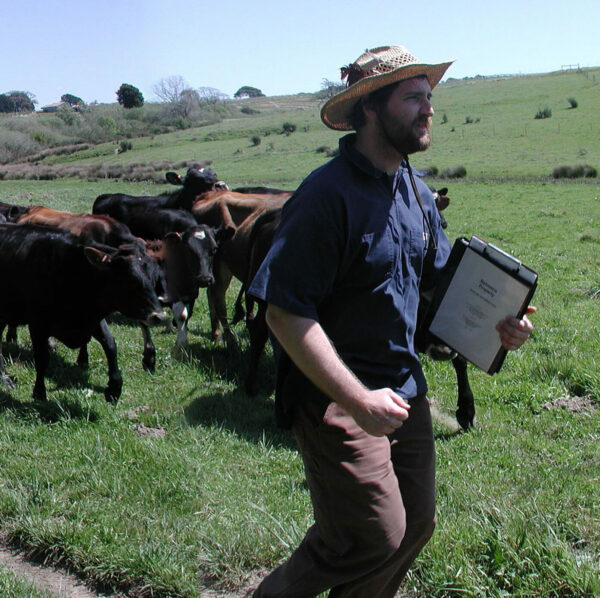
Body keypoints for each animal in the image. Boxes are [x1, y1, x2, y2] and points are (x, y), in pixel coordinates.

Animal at [0, 224, 166, 404]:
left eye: (154, 279)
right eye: (130, 280)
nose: (160, 316)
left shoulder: (93, 318)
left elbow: (110, 345)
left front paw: (114, 388)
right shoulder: (37, 324)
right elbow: (42, 358)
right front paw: (39, 393)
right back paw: (5, 379)